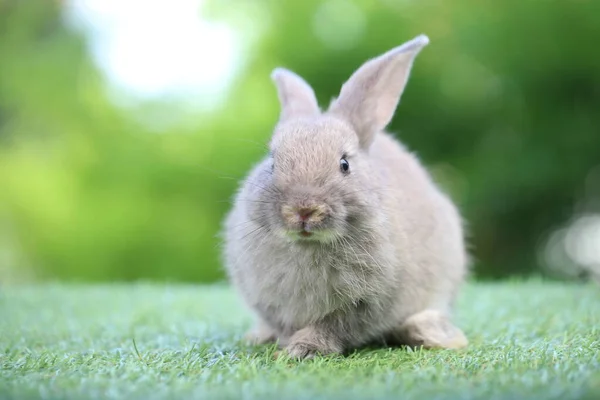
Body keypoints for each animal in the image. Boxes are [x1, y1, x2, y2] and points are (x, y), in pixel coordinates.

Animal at [221, 35, 468, 360]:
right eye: (272, 162)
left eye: (344, 164)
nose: (303, 210)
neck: (308, 245)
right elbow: (283, 324)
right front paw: (285, 346)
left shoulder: (365, 303)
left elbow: (332, 326)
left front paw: (302, 349)